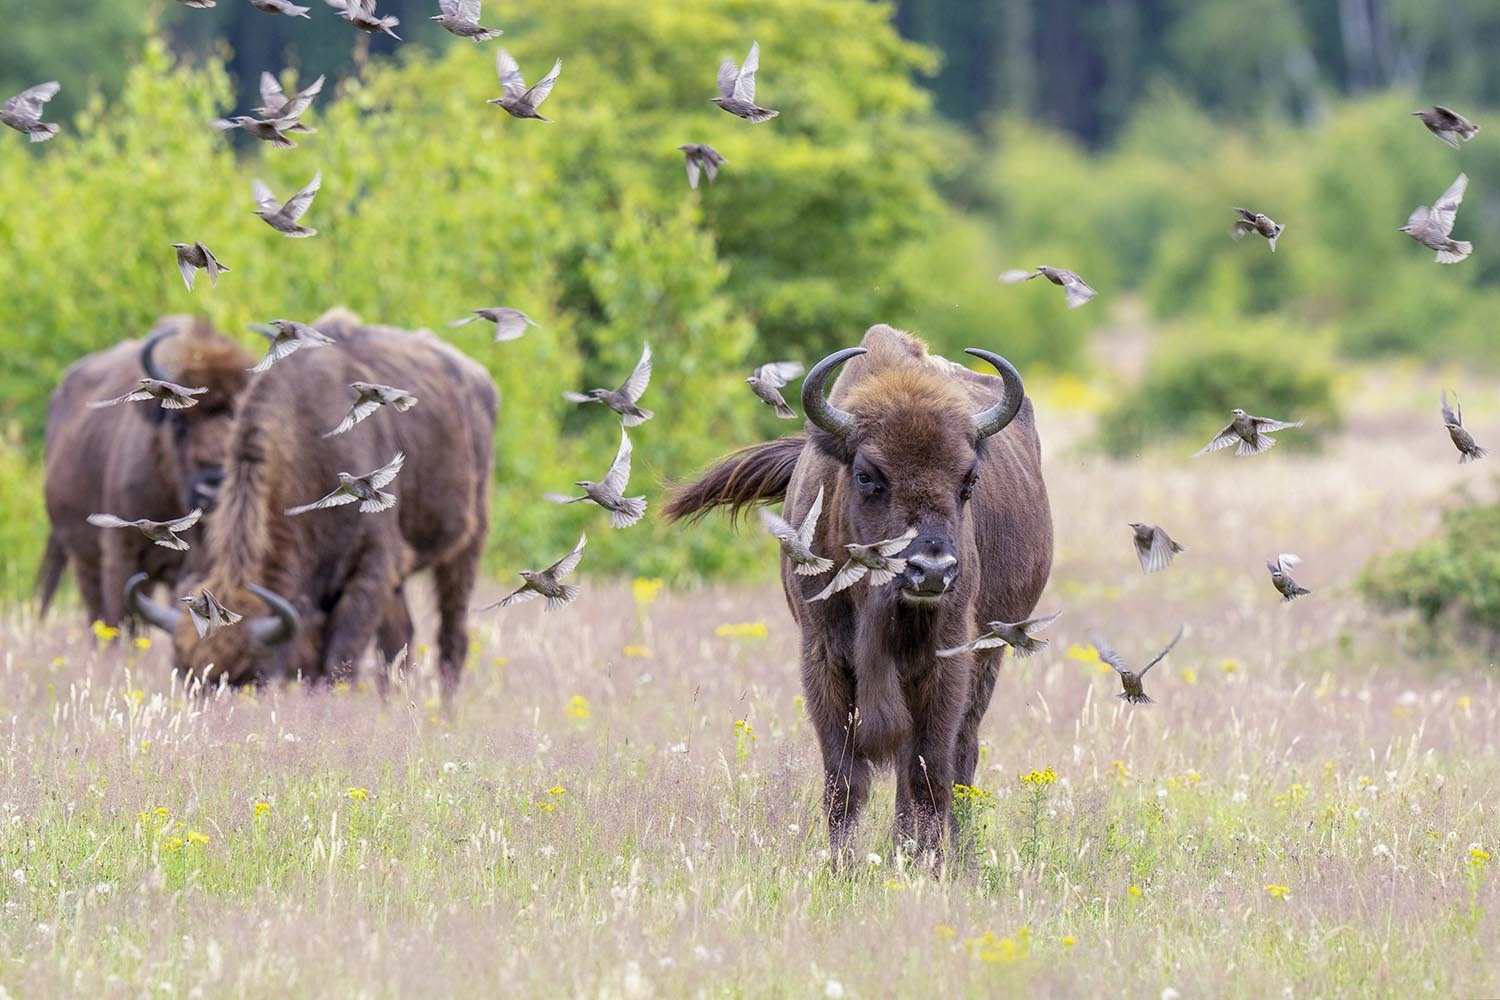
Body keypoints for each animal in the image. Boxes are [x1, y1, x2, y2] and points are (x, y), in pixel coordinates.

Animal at [127, 308, 497, 701]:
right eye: (184, 675)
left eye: (252, 676)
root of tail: (479, 380)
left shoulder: (370, 573)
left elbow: (339, 663)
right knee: (399, 643)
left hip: (464, 553)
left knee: (451, 642)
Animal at [667, 325, 1054, 862]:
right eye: (869, 475)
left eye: (969, 480)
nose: (931, 571)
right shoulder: (825, 659)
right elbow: (845, 778)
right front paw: (843, 866)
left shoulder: (947, 660)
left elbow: (930, 771)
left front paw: (927, 863)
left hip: (991, 654)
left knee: (960, 756)